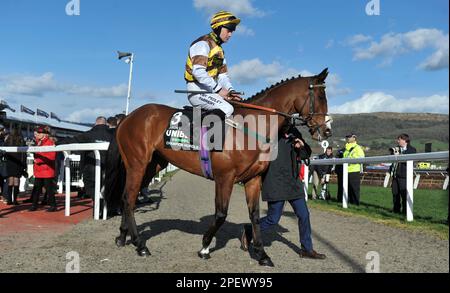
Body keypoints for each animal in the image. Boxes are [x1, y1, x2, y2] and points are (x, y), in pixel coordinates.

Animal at [104, 67, 330, 266]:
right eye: (321, 96)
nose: (326, 130)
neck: (249, 127)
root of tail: (128, 117)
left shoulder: (253, 179)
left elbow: (255, 216)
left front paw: (262, 254)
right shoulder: (225, 178)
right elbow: (221, 214)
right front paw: (205, 246)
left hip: (153, 165)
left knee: (127, 197)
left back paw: (122, 237)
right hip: (137, 163)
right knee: (129, 198)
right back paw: (140, 244)